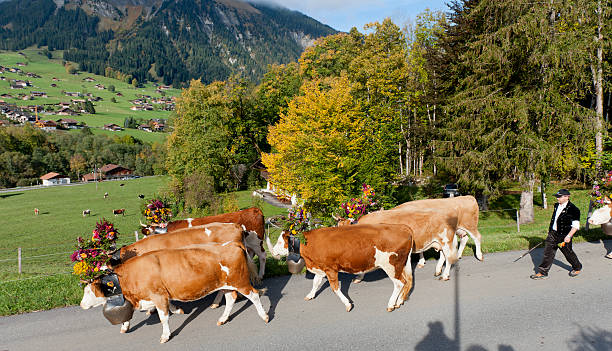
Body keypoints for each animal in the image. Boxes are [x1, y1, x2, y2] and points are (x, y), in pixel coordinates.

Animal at [78, 242, 268, 344]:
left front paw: (165, 335)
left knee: (254, 295)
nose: (81, 304)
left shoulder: (158, 295)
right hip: (227, 284)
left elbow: (163, 317)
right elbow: (166, 307)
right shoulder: (155, 296)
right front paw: (177, 310)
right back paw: (223, 318)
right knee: (230, 298)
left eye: (89, 291)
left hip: (240, 282)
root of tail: (230, 243)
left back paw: (264, 316)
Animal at [266, 224, 414, 312]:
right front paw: (310, 295)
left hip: (391, 266)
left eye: (279, 242)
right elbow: (315, 283)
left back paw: (391, 304)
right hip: (402, 265)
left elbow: (335, 288)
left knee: (399, 283)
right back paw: (399, 301)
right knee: (408, 281)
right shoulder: (320, 267)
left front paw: (347, 304)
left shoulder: (330, 269)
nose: (274, 252)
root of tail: (402, 227)